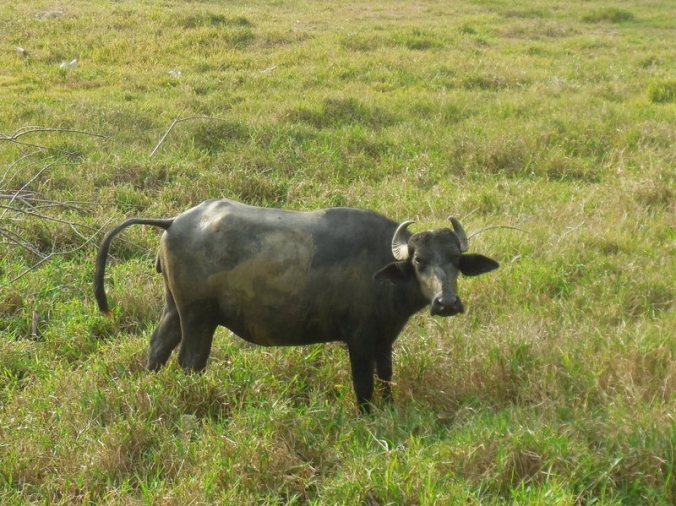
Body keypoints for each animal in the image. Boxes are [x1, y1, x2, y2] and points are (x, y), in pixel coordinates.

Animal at [94, 199, 499, 412]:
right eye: (419, 261)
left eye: (455, 260)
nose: (447, 302)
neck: (381, 269)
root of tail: (175, 220)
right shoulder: (358, 340)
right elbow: (364, 384)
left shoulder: (384, 340)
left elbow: (385, 377)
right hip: (199, 317)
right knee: (190, 362)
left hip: (174, 309)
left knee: (158, 347)